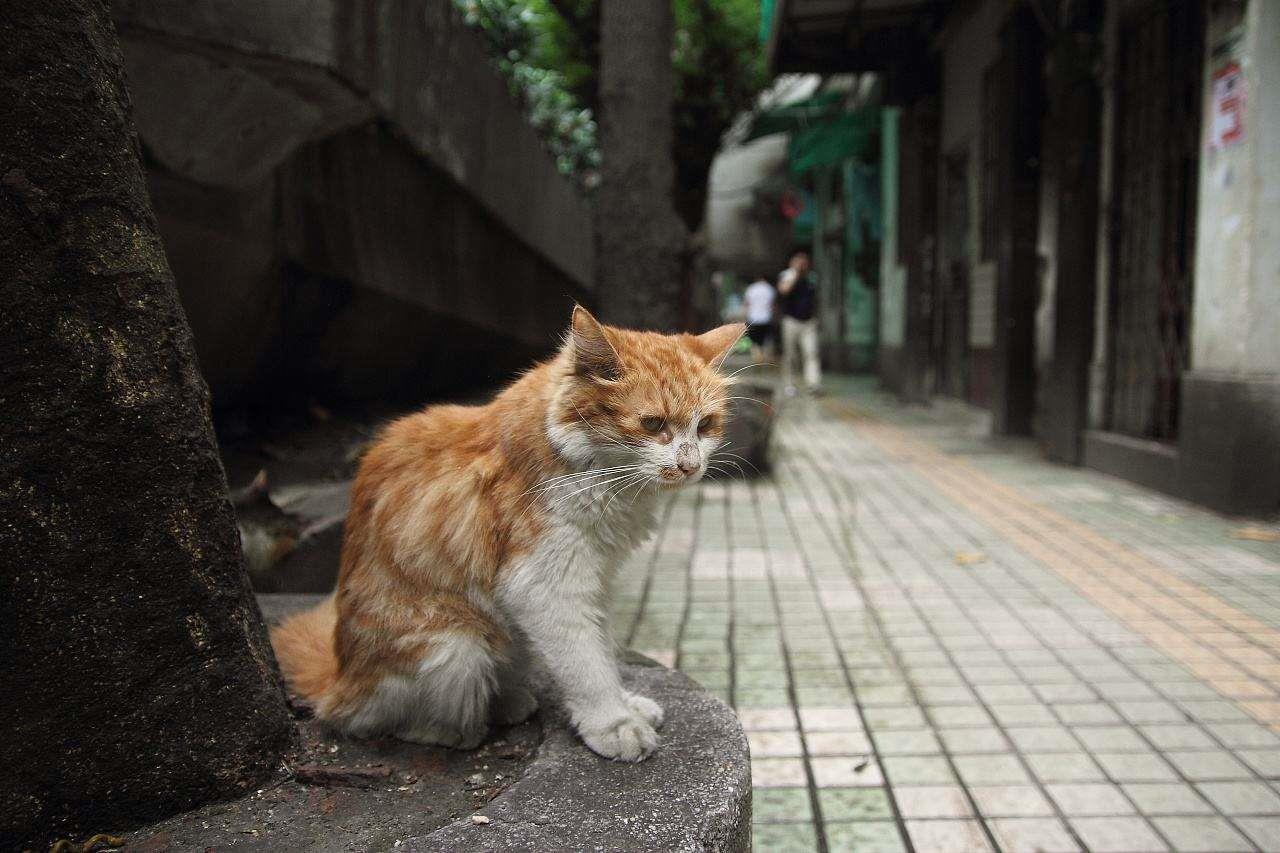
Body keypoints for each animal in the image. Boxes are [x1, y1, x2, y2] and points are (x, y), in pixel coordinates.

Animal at [275, 306, 747, 758]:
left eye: (705, 425)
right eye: (653, 425)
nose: (690, 466)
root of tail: (339, 682)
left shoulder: (597, 579)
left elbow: (604, 650)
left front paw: (626, 704)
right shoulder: (544, 586)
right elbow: (587, 667)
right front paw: (613, 724)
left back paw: (509, 701)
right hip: (456, 647)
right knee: (390, 724)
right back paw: (463, 728)